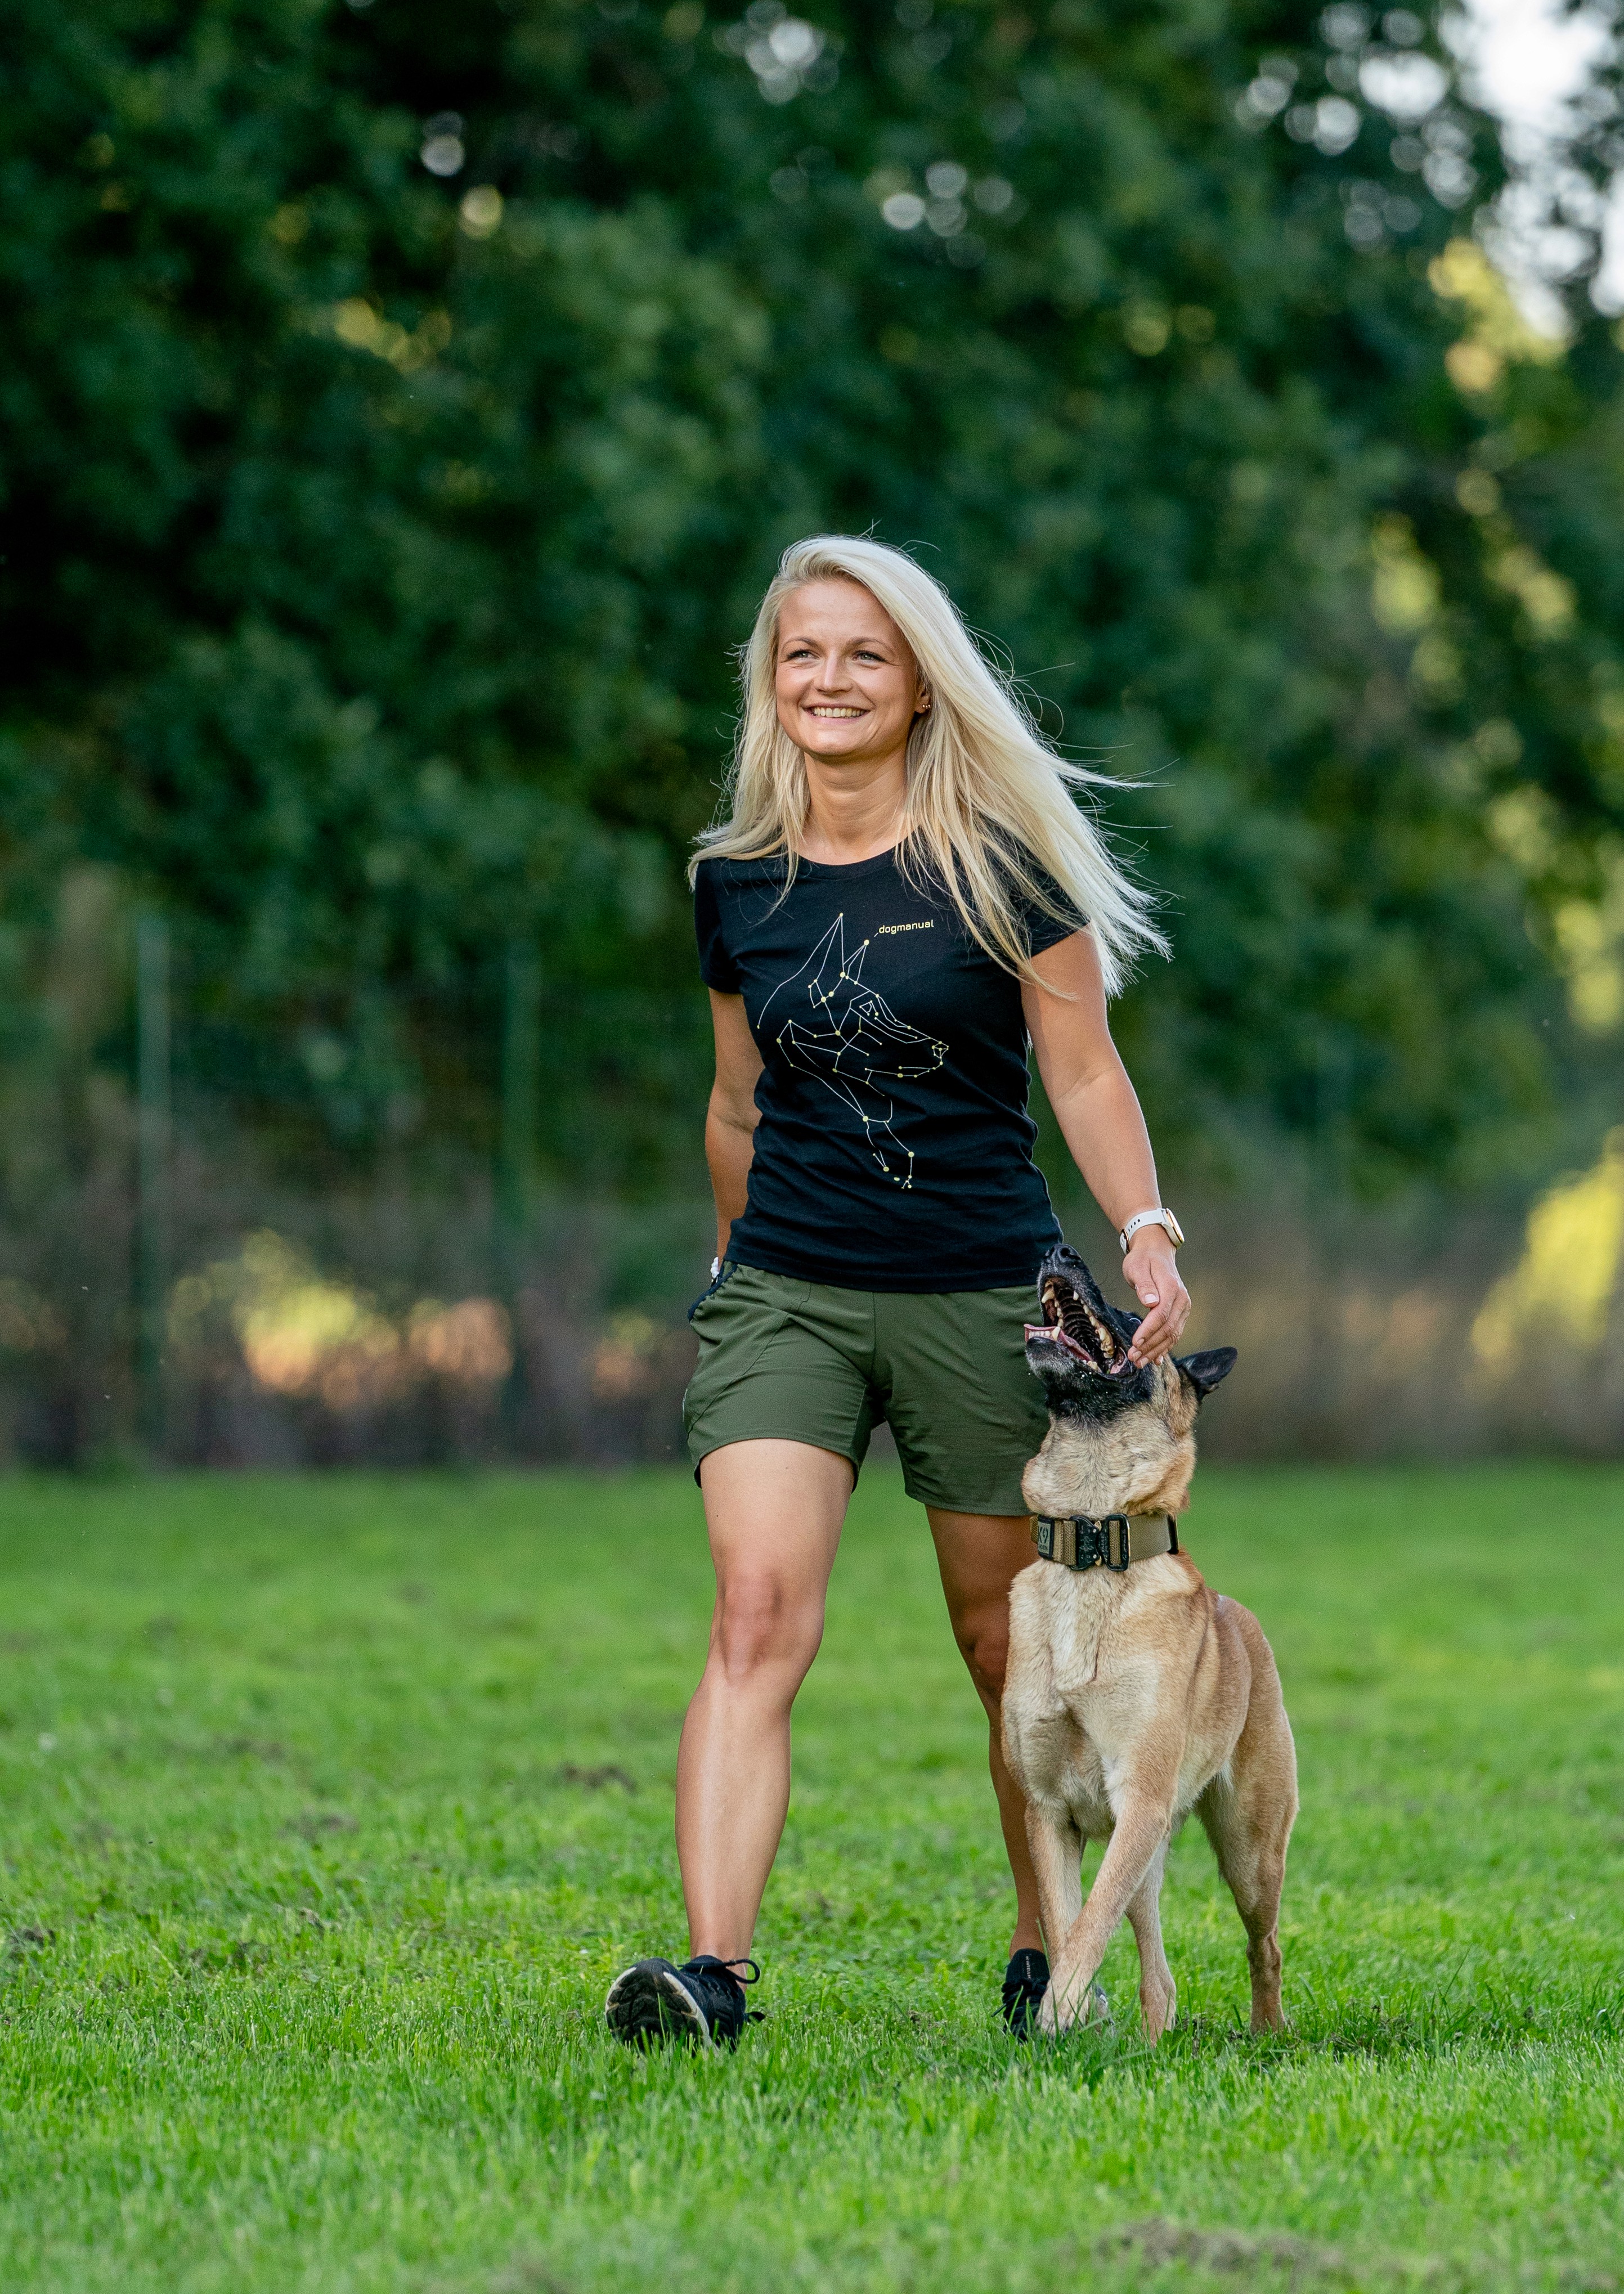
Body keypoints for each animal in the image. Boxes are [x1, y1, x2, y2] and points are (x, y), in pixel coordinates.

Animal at [1001, 1246, 1298, 2040]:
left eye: (1137, 1314)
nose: (1059, 1250)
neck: (1092, 1542)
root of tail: (1242, 1618)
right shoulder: (1051, 1813)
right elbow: (1069, 1922)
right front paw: (1063, 2021)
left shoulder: (1138, 1798)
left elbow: (1087, 1929)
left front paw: (1058, 2017)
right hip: (1151, 1846)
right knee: (1158, 1970)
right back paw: (1152, 2037)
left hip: (1249, 1848)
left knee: (1265, 1945)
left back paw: (1267, 2031)